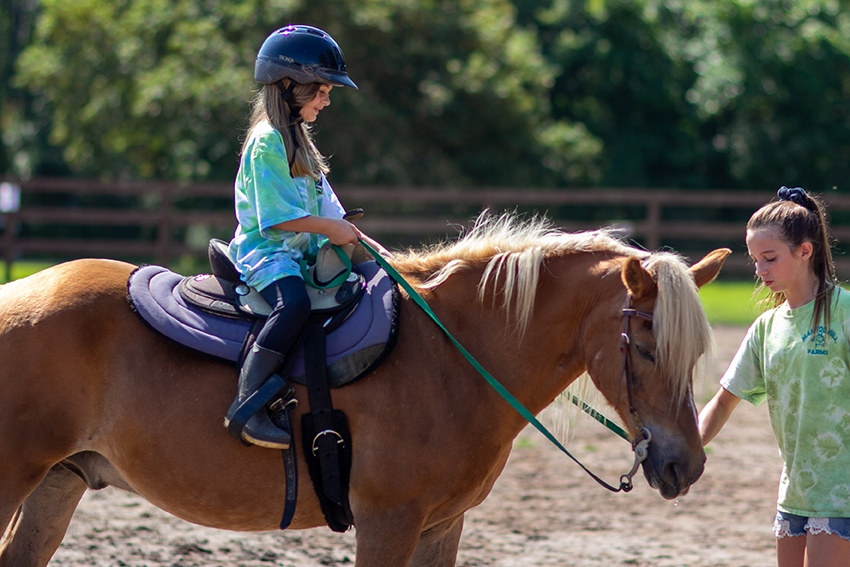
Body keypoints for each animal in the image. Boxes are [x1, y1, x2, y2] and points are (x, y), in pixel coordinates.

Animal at [1, 215, 728, 564]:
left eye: (695, 353)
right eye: (645, 346)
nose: (686, 464)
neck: (452, 354)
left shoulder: (440, 527)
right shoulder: (388, 523)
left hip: (58, 482)